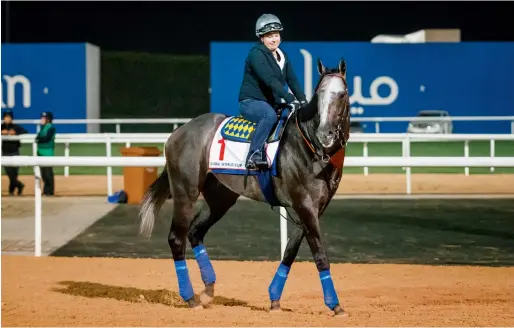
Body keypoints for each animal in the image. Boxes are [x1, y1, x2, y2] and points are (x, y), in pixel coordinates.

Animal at [138, 57, 350, 316]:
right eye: (319, 93)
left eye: (342, 94)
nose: (325, 134)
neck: (310, 145)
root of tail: (178, 132)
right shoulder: (305, 205)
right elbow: (320, 254)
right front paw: (335, 305)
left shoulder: (313, 208)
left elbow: (290, 251)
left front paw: (274, 299)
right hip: (185, 192)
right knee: (176, 238)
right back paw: (191, 298)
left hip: (220, 198)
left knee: (196, 231)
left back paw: (208, 290)